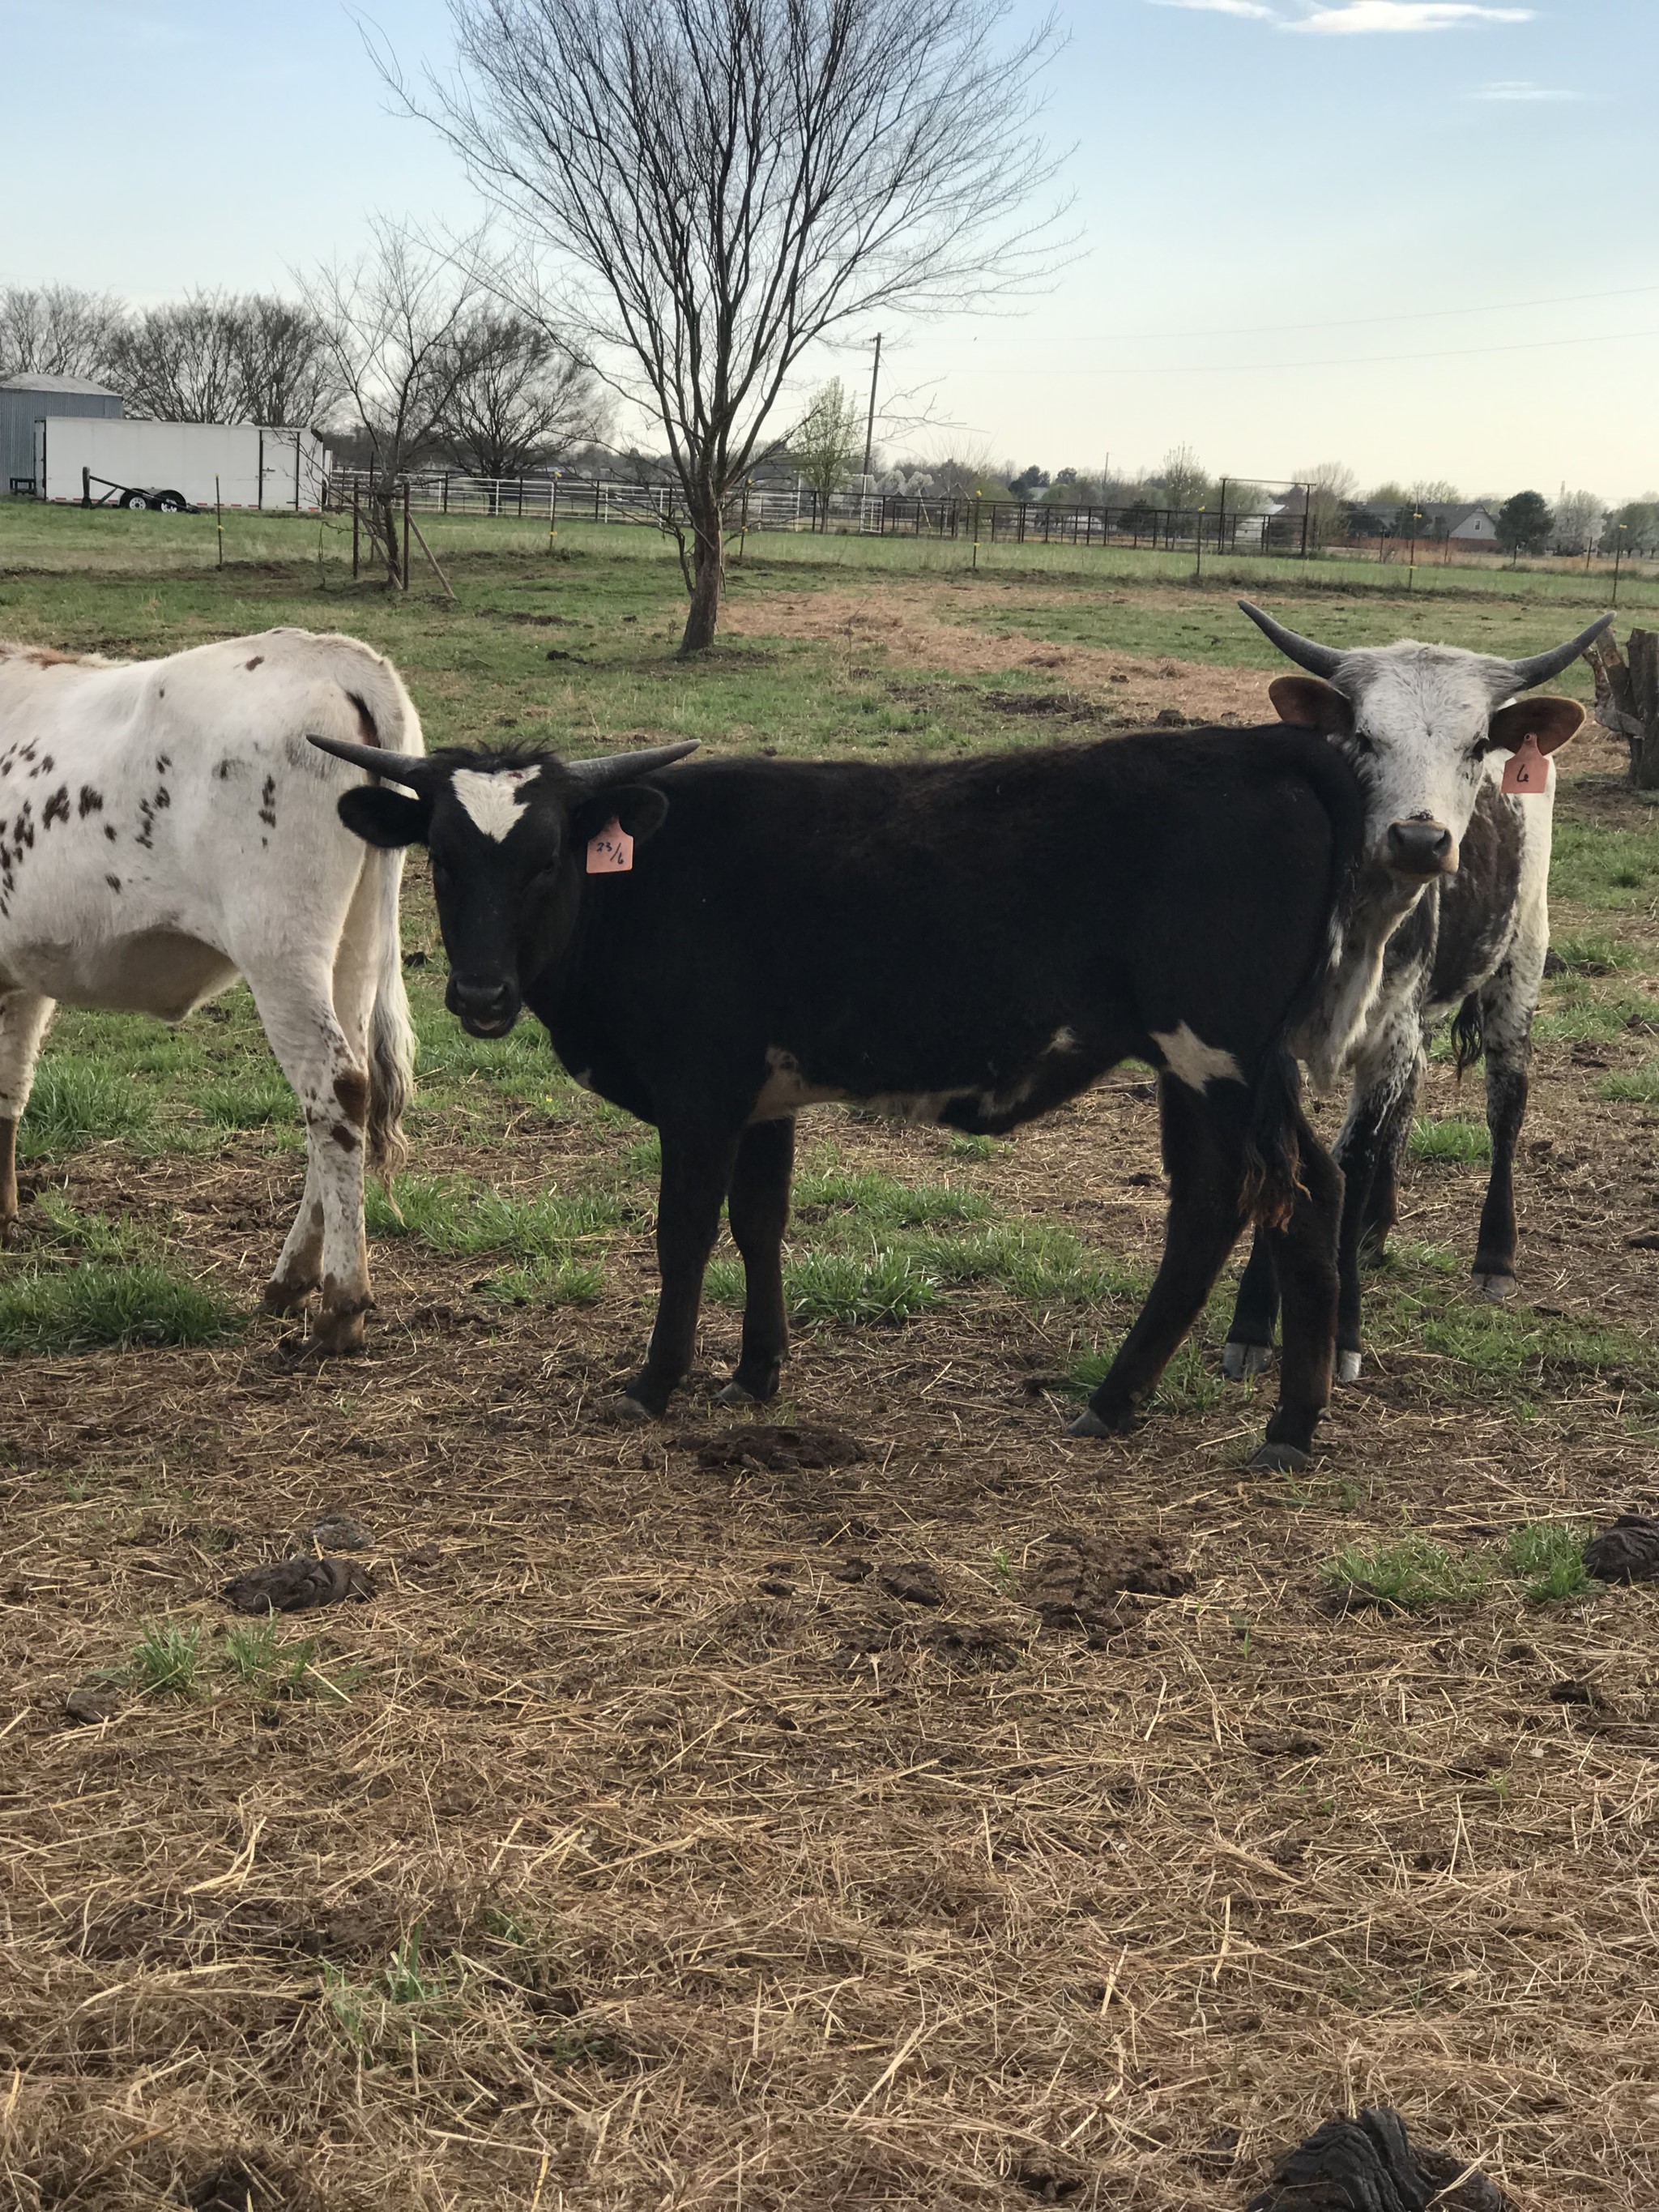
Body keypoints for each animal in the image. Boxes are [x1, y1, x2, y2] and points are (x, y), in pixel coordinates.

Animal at [0, 627, 422, 1354]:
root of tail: (331, 653)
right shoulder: (21, 974)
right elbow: (11, 1087)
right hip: (354, 947)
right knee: (350, 1092)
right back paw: (292, 1279)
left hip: (279, 947)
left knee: (336, 1091)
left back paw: (340, 1306)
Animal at [313, 720, 1368, 1470]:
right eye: (442, 859)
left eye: (545, 858)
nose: (479, 995)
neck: (650, 884)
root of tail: (1258, 747)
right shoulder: (762, 1100)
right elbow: (759, 1223)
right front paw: (754, 1373)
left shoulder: (700, 1096)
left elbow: (684, 1234)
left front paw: (655, 1381)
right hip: (1199, 1069)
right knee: (1232, 1203)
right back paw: (1127, 1402)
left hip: (1221, 1060)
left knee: (1287, 1198)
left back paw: (1284, 1426)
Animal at [1219, 603, 1610, 1387]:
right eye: (1364, 738)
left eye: (1477, 744)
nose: (1420, 840)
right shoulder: (1275, 1040)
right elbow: (1292, 1161)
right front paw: (1252, 1321)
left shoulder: (1388, 1039)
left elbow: (1355, 1160)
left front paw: (1340, 1331)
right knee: (1414, 1096)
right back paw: (1376, 1230)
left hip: (1519, 965)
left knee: (1505, 1103)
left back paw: (1494, 1256)